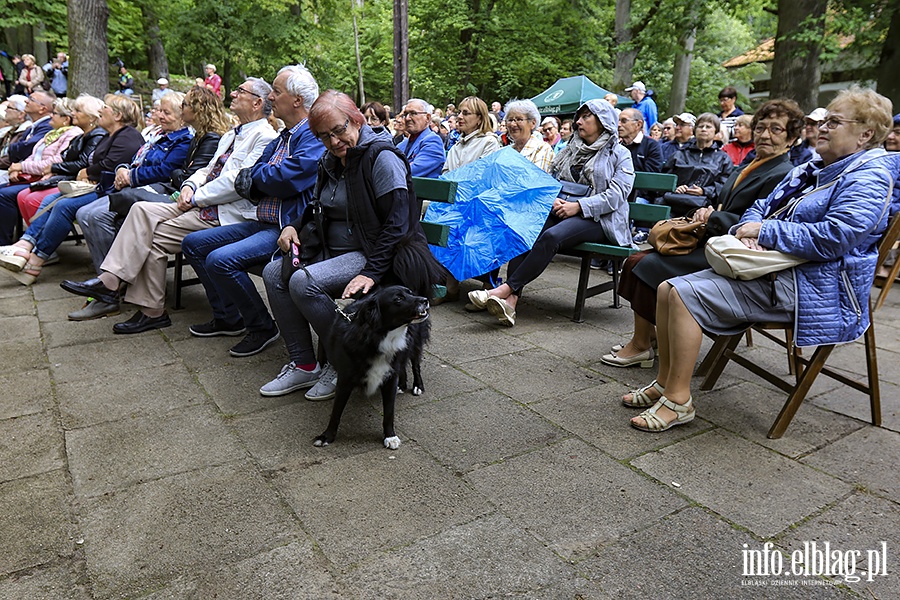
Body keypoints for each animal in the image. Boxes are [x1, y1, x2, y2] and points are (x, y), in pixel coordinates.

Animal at [314, 286, 430, 450]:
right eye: (398, 299)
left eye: (411, 294)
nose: (425, 300)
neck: (381, 337)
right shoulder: (345, 379)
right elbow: (336, 411)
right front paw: (327, 436)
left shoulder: (389, 377)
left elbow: (389, 411)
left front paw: (390, 436)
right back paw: (401, 385)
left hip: (415, 341)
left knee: (415, 364)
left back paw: (417, 385)